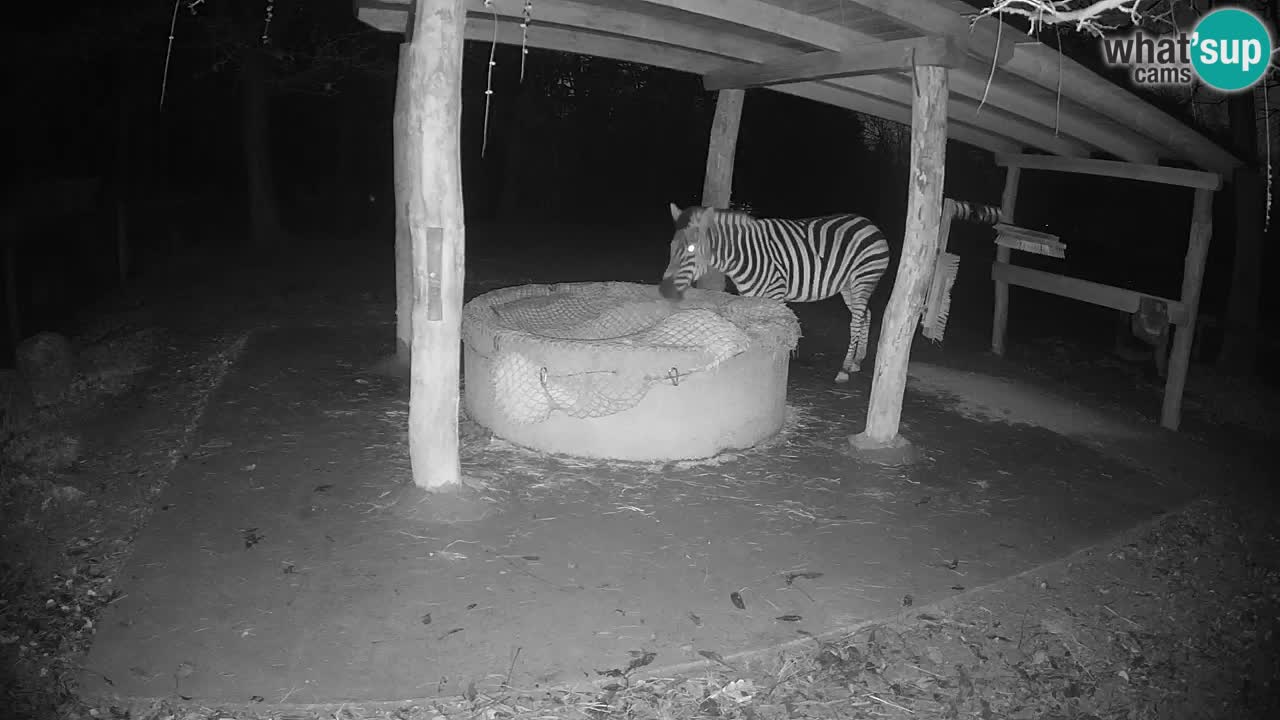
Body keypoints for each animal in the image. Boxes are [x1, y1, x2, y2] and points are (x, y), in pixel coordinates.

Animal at [659, 203, 892, 383]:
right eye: (670, 246)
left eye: (691, 249)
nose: (664, 290)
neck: (743, 255)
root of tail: (868, 223)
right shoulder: (751, 296)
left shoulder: (776, 294)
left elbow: (778, 331)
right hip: (847, 285)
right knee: (865, 315)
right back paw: (857, 361)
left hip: (863, 279)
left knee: (856, 321)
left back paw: (844, 369)